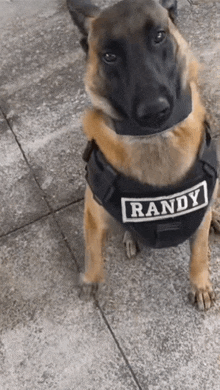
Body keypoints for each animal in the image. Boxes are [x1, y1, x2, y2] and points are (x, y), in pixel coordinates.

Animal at [68, 0, 219, 310]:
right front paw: (91, 278)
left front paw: (200, 284)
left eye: (159, 36)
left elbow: (199, 252)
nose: (154, 111)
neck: (154, 140)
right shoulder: (93, 212)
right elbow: (92, 249)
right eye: (109, 56)